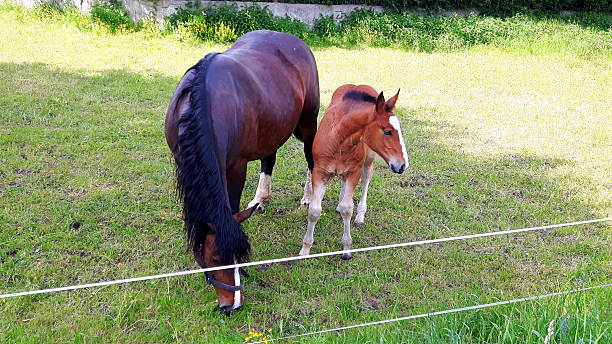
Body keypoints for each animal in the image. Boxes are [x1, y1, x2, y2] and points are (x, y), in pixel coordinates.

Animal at [300, 84, 408, 260]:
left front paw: (346, 249)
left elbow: (347, 209)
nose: (403, 165)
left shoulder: (354, 173)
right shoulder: (320, 173)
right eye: (387, 131)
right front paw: (305, 249)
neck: (339, 140)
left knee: (365, 182)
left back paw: (360, 215)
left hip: (368, 162)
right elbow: (315, 211)